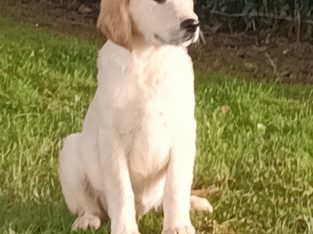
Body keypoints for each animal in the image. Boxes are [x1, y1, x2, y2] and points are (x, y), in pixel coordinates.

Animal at [58, 0, 212, 232]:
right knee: (91, 206)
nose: (193, 24)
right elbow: (122, 191)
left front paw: (177, 226)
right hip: (70, 150)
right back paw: (87, 219)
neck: (150, 58)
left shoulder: (183, 132)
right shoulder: (112, 138)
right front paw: (125, 229)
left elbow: (176, 187)